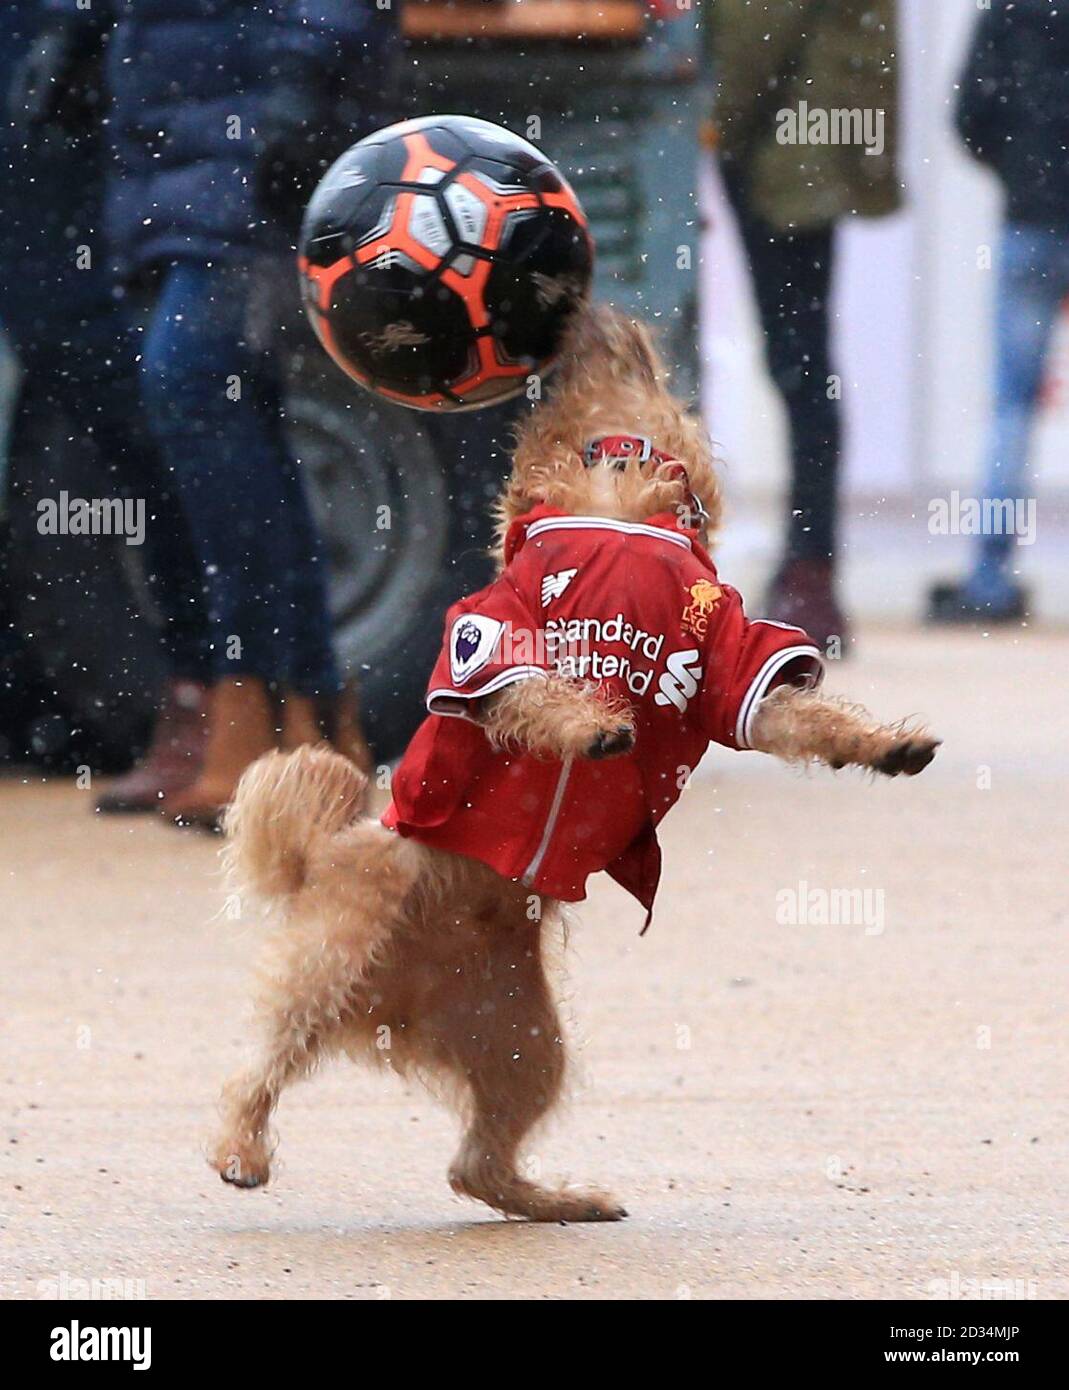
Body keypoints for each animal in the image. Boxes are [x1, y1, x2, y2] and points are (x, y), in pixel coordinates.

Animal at [205, 309, 934, 1223]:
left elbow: (811, 718)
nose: (581, 313)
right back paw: (240, 1148)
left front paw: (885, 746)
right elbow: (541, 692)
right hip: (333, 956)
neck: (616, 510)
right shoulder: (490, 642)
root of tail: (396, 1010)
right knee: (261, 1064)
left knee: (475, 1164)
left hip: (527, 1046)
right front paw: (592, 726)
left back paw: (560, 1202)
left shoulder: (733, 669)